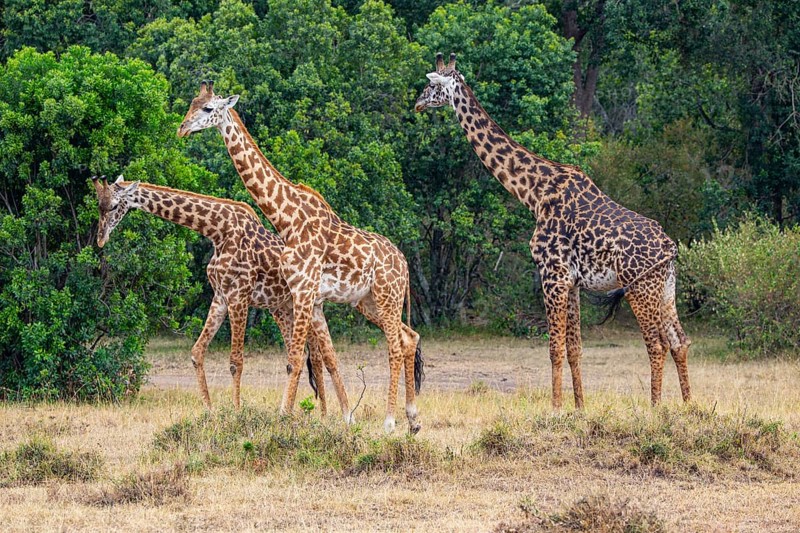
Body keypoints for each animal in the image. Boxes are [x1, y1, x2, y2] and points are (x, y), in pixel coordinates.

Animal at [92, 175, 351, 418]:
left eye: (114, 206)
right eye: (99, 205)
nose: (100, 239)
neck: (218, 230)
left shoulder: (239, 296)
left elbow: (236, 362)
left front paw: (236, 412)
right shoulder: (220, 297)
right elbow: (197, 352)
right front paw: (209, 410)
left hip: (304, 307)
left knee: (316, 358)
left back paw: (323, 415)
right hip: (281, 309)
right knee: (301, 355)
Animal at [177, 81, 424, 434]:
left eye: (209, 108)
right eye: (191, 104)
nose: (182, 129)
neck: (287, 219)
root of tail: (404, 263)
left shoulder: (304, 291)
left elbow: (294, 359)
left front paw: (283, 418)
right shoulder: (311, 297)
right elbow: (322, 357)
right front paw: (337, 418)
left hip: (387, 296)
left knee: (393, 346)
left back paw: (390, 422)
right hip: (369, 302)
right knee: (408, 338)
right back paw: (413, 419)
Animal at [415, 53, 691, 408]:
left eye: (432, 86)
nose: (418, 103)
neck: (534, 193)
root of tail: (670, 247)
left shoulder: (552, 275)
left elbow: (553, 349)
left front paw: (557, 407)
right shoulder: (572, 282)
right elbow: (575, 350)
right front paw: (579, 407)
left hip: (640, 287)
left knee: (657, 345)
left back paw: (655, 408)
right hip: (666, 287)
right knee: (679, 341)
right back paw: (688, 405)